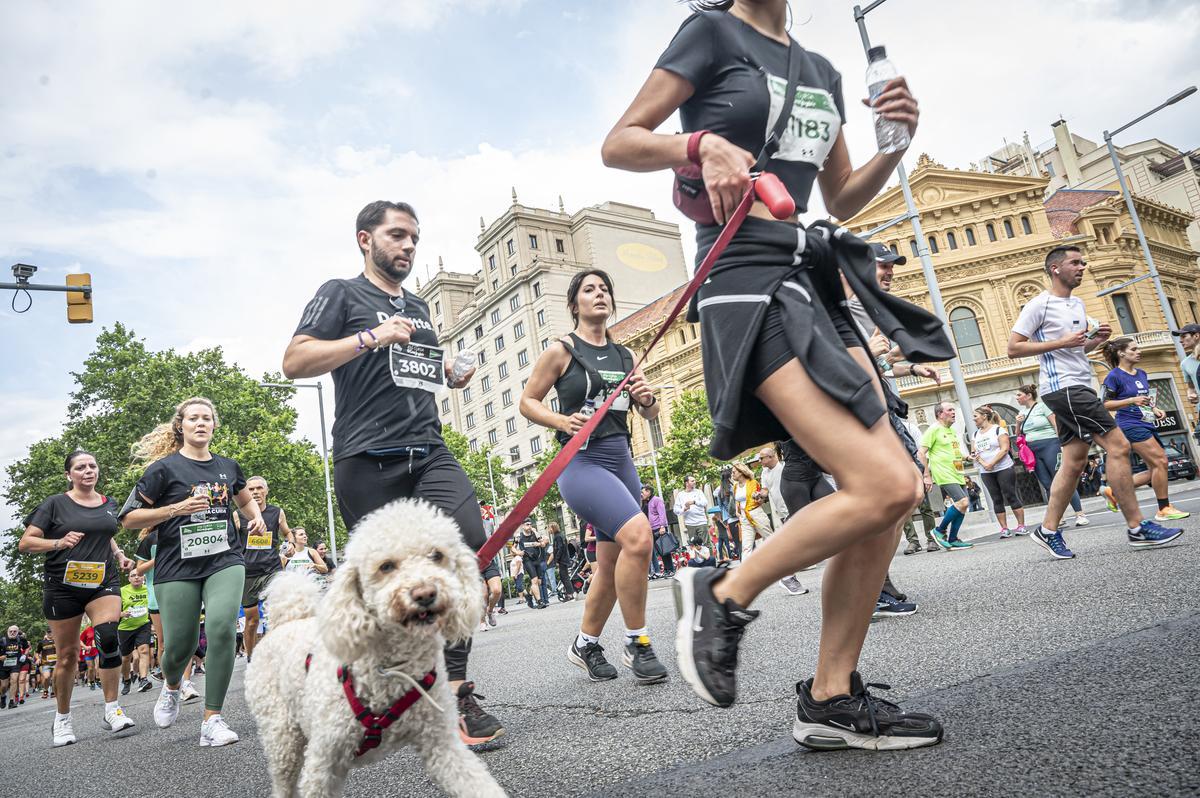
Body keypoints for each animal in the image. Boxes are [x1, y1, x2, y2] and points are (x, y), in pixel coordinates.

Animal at [243, 501, 506, 792]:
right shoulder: (323, 760)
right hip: (281, 736)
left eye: (437, 555)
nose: (425, 593)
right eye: (386, 566)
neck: (392, 667)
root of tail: (286, 621)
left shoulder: (442, 746)